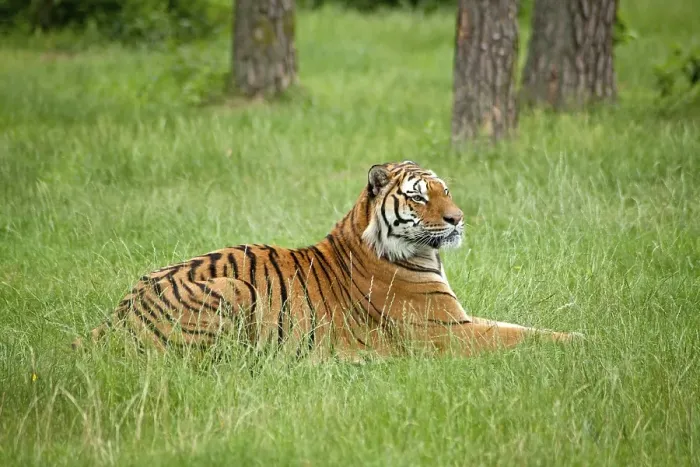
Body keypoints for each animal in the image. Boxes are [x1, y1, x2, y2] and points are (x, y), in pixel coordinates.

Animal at [72, 161, 581, 359]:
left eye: (446, 191)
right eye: (419, 198)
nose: (458, 219)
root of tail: (115, 315)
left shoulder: (462, 321)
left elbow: (521, 326)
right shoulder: (446, 333)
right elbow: (521, 337)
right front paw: (585, 341)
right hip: (234, 291)